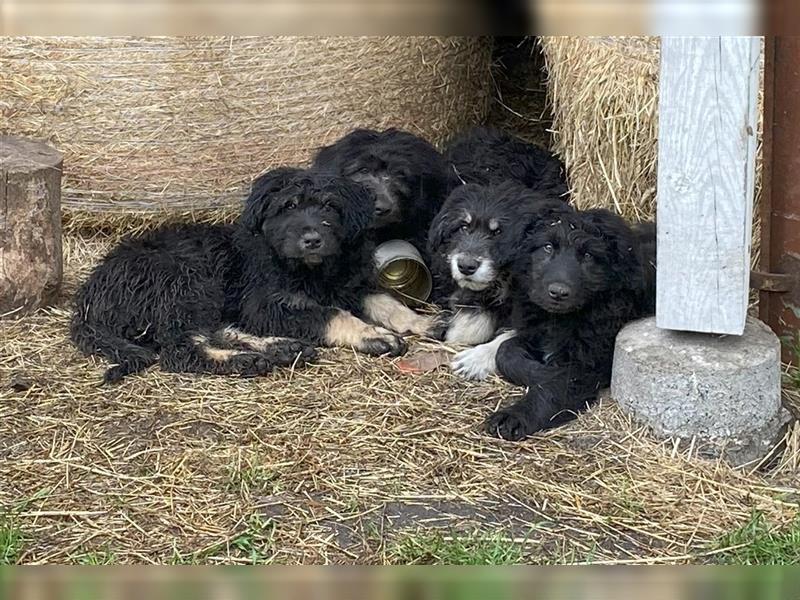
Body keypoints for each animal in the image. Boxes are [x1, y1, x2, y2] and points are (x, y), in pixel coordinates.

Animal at [73, 166, 438, 382]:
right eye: (288, 207)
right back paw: (246, 360)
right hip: (186, 282)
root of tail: (89, 296)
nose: (312, 240)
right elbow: (330, 314)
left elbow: (388, 302)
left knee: (213, 331)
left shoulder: (350, 287)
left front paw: (422, 322)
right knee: (181, 348)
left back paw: (282, 348)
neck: (312, 270)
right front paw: (373, 335)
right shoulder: (265, 303)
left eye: (330, 207)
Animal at [482, 207, 656, 440]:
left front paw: (514, 416)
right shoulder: (535, 333)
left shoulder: (589, 358)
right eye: (547, 247)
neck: (558, 319)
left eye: (588, 255)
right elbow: (505, 351)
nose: (558, 292)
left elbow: (556, 386)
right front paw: (540, 372)